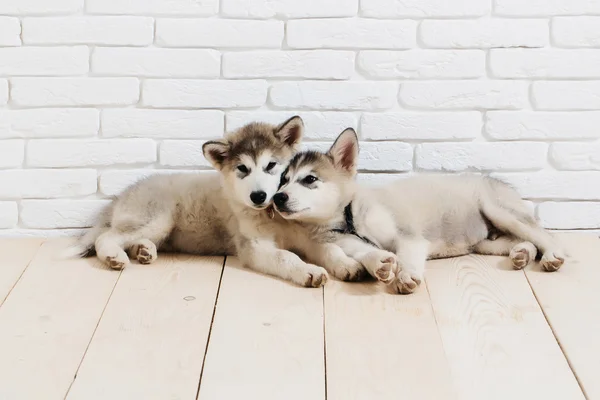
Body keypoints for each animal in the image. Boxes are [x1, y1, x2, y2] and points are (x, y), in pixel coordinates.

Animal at [69, 118, 360, 288]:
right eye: (242, 168)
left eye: (271, 166)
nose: (259, 196)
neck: (274, 218)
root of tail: (123, 194)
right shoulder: (255, 247)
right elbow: (285, 256)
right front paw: (308, 271)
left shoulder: (309, 239)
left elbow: (331, 250)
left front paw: (347, 265)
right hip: (157, 218)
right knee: (106, 237)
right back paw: (114, 256)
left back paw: (144, 250)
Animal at [274, 128, 564, 294]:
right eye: (283, 180)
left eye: (310, 179)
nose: (277, 197)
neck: (349, 219)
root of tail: (498, 182)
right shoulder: (348, 243)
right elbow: (367, 253)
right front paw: (379, 263)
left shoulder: (409, 237)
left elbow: (406, 255)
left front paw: (406, 274)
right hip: (486, 242)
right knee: (522, 240)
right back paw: (522, 253)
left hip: (499, 211)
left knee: (543, 235)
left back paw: (551, 255)